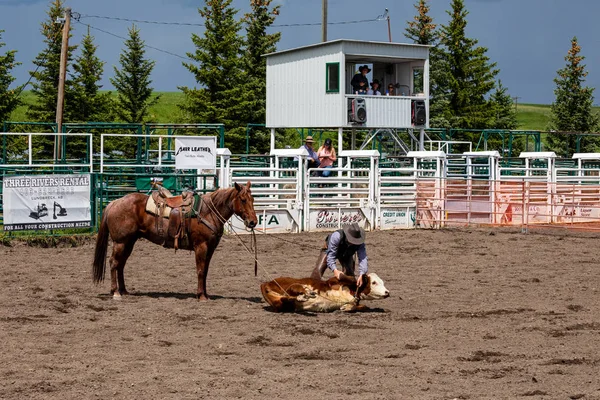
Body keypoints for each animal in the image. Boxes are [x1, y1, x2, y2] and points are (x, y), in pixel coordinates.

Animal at [92, 181, 256, 300]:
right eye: (243, 200)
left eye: (253, 199)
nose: (253, 222)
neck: (207, 212)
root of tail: (114, 203)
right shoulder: (201, 246)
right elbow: (200, 270)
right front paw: (201, 296)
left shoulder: (211, 248)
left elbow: (206, 271)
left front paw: (205, 294)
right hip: (121, 242)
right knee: (114, 263)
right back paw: (115, 292)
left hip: (129, 242)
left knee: (121, 264)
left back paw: (124, 291)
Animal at [262, 274, 392, 314]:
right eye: (374, 282)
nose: (387, 292)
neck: (351, 291)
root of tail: (266, 283)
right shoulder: (332, 281)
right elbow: (348, 277)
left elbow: (363, 306)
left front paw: (347, 307)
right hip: (288, 284)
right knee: (293, 288)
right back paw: (306, 293)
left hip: (281, 304)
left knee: (286, 299)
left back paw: (303, 296)